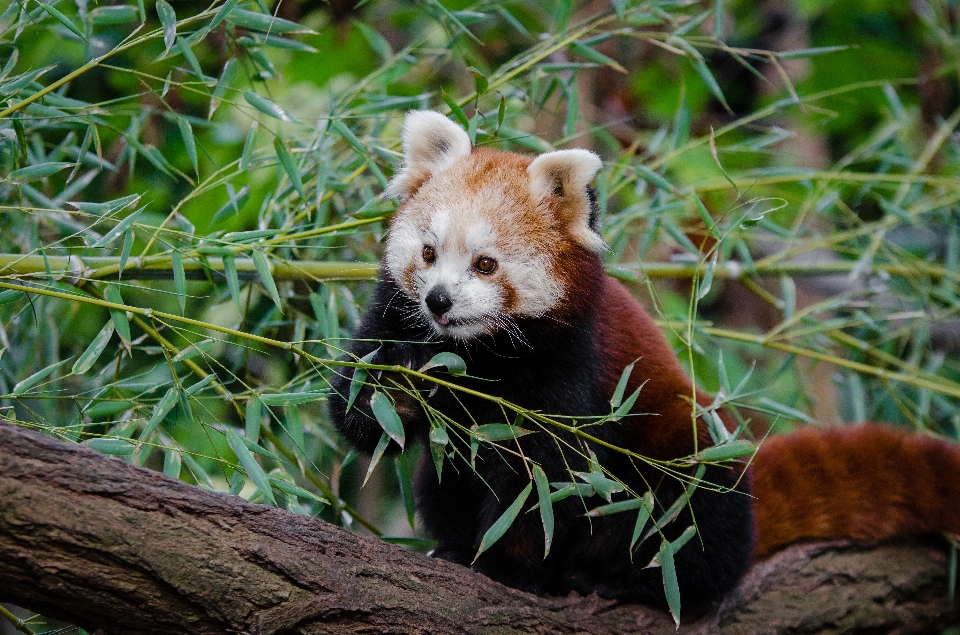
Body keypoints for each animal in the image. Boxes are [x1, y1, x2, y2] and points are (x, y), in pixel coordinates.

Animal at [328, 112, 960, 612]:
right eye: (429, 252)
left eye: (486, 265)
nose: (439, 301)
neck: (478, 353)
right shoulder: (388, 319)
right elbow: (360, 417)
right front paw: (403, 382)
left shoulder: (569, 365)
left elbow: (543, 482)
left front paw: (507, 567)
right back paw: (459, 543)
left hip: (687, 457)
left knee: (696, 529)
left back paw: (624, 582)